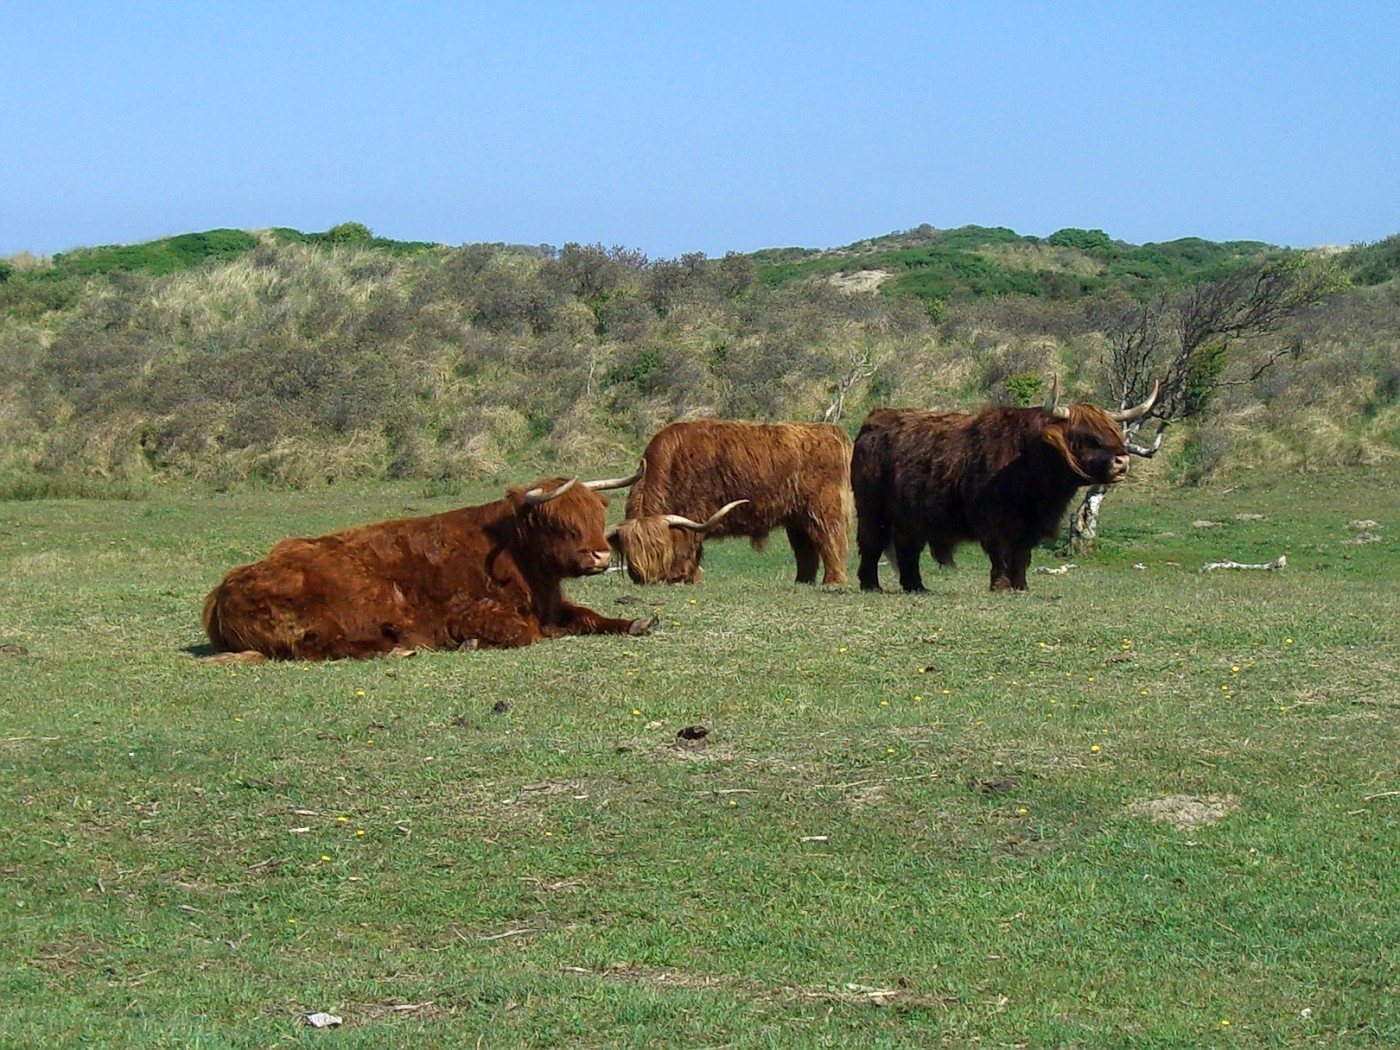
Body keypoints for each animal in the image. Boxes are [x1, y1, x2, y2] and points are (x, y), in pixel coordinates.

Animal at [200, 470, 658, 660]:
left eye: (597, 515)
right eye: (557, 523)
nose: (601, 555)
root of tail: (222, 589)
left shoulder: (552, 604)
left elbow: (588, 615)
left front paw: (638, 622)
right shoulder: (467, 611)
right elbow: (524, 633)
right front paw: (469, 643)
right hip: (325, 618)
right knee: (318, 647)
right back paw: (399, 648)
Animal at [621, 420, 851, 585]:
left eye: (657, 548)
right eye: (629, 550)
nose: (642, 578)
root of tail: (829, 429)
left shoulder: (695, 513)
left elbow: (690, 545)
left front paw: (681, 576)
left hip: (823, 510)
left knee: (830, 541)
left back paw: (833, 581)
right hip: (797, 519)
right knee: (805, 548)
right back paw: (802, 581)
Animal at [851, 383, 1159, 593]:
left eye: (1113, 431)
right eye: (1086, 437)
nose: (1122, 460)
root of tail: (873, 420)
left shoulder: (1031, 525)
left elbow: (1022, 555)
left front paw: (1020, 585)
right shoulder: (993, 519)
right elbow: (1000, 552)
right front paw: (1000, 585)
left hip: (909, 517)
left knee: (908, 548)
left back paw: (916, 586)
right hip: (872, 509)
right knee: (871, 543)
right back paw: (871, 584)